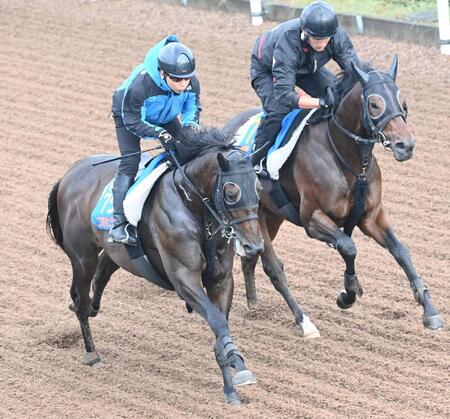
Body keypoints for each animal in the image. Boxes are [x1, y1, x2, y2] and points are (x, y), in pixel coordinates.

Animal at [45, 130, 264, 406]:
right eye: (231, 191)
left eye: (258, 188)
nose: (254, 246)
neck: (191, 203)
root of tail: (69, 174)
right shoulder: (184, 279)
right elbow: (217, 321)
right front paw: (238, 364)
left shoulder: (221, 279)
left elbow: (219, 325)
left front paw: (231, 387)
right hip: (82, 257)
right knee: (80, 298)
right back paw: (92, 353)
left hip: (118, 253)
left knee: (102, 273)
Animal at [224, 57, 442, 336]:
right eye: (374, 104)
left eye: (403, 102)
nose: (406, 145)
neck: (348, 160)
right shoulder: (312, 219)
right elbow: (348, 246)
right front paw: (348, 292)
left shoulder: (372, 215)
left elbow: (401, 251)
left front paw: (430, 311)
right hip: (255, 216)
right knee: (273, 268)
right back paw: (304, 323)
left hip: (269, 217)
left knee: (250, 257)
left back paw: (253, 304)